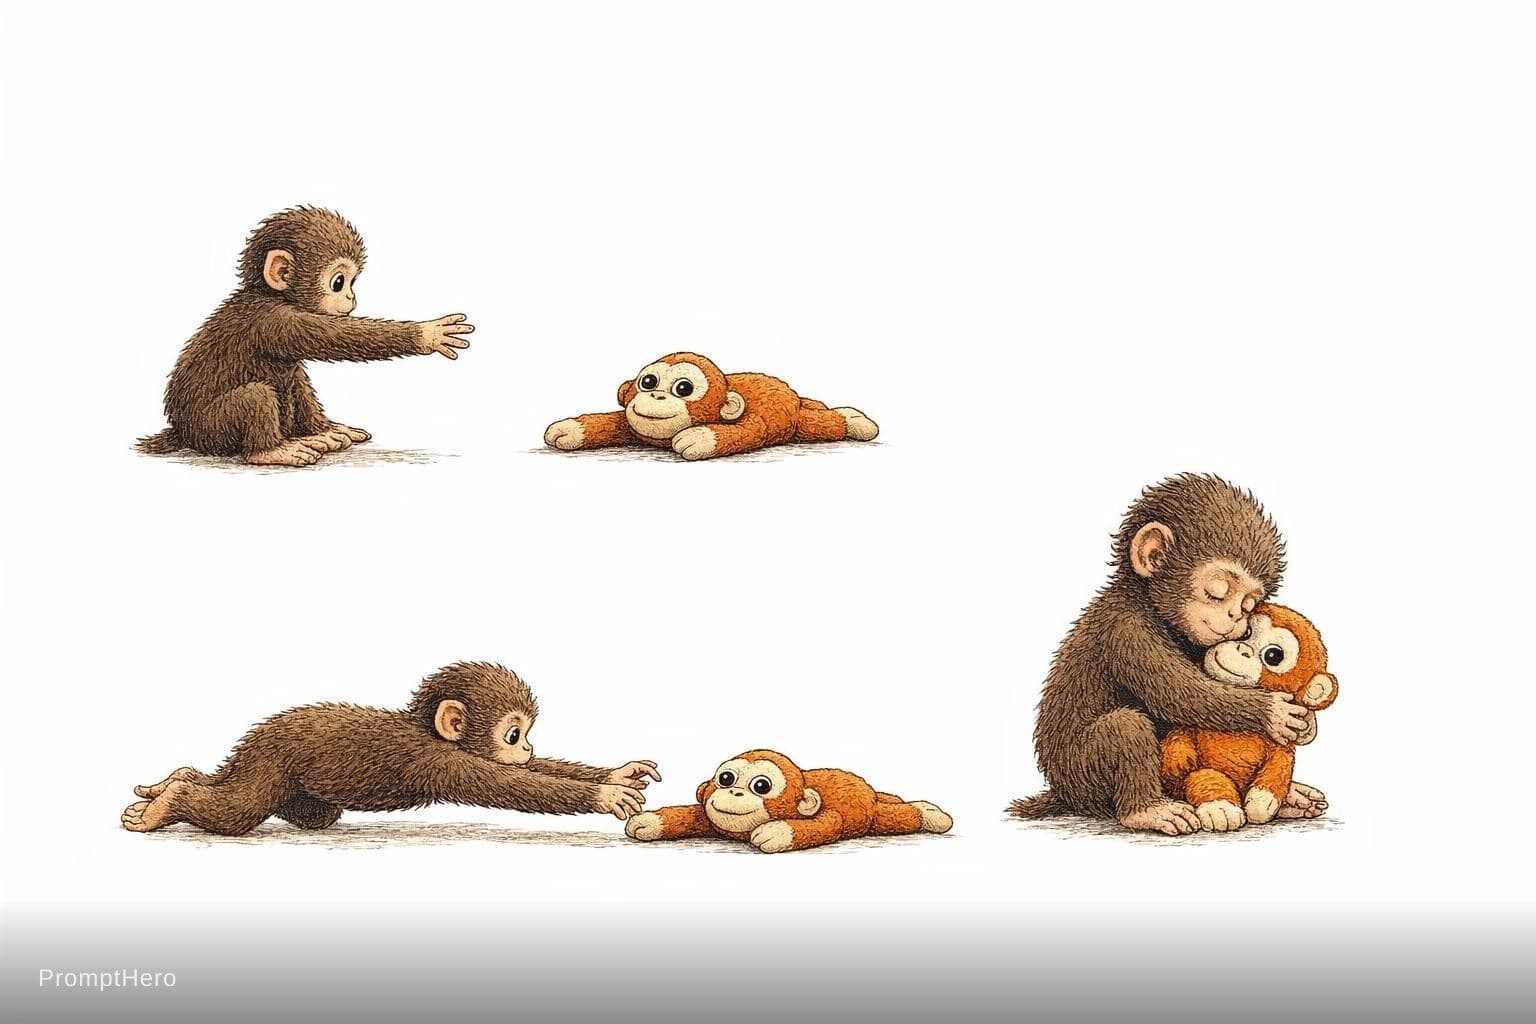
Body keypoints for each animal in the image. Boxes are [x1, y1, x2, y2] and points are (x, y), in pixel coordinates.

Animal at [121, 662, 661, 836]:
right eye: (514, 734)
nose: (526, 747)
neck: (427, 730)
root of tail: (254, 739)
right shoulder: (440, 762)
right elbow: (511, 784)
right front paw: (605, 795)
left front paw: (615, 773)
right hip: (267, 766)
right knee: (237, 807)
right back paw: (171, 800)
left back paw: (177, 780)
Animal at [136, 207, 475, 466]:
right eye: (338, 282)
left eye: (351, 282)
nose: (351, 297)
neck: (271, 294)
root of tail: (181, 431)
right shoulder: (275, 320)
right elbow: (335, 337)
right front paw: (426, 334)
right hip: (209, 430)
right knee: (256, 395)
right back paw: (270, 451)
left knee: (294, 378)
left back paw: (320, 430)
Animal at [543, 352, 879, 460]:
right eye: (648, 381)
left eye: (683, 388)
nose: (656, 396)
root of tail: (790, 391)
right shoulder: (635, 424)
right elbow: (614, 421)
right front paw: (569, 429)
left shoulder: (756, 421)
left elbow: (746, 431)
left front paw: (699, 437)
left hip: (796, 421)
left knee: (823, 424)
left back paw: (854, 419)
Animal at [623, 749, 952, 853]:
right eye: (726, 778)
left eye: (761, 786)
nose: (734, 793)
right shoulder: (712, 816)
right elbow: (692, 814)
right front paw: (648, 821)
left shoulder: (830, 816)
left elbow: (824, 826)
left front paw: (776, 832)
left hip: (869, 813)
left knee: (896, 816)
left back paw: (930, 812)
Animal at [1161, 603, 1337, 831]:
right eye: (1247, 633)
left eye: (1273, 655)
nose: (1243, 650)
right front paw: (1176, 760)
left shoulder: (1280, 749)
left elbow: (1276, 769)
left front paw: (1261, 804)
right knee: (1206, 779)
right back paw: (1221, 810)